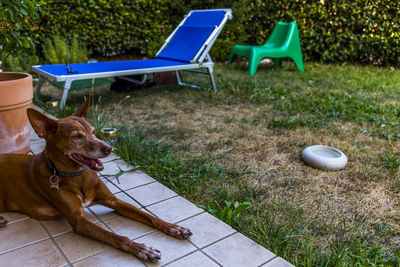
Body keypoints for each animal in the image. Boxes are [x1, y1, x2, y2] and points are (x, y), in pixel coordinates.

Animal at [0, 97, 192, 264]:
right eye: (77, 136)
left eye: (93, 131)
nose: (109, 148)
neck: (78, 176)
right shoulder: (79, 220)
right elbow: (115, 236)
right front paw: (141, 249)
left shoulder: (114, 201)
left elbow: (148, 216)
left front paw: (173, 227)